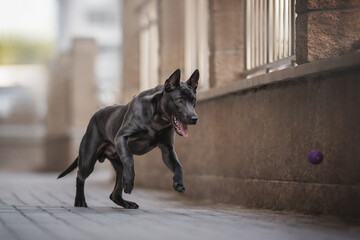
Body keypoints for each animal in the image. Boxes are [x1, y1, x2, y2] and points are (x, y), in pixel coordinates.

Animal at [57, 69, 198, 208]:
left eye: (194, 101)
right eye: (179, 100)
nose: (194, 118)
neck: (158, 119)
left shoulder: (167, 150)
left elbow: (178, 165)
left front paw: (178, 182)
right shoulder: (122, 137)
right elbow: (129, 159)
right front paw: (130, 181)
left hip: (119, 168)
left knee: (114, 194)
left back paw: (126, 203)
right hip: (88, 160)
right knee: (80, 177)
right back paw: (80, 200)